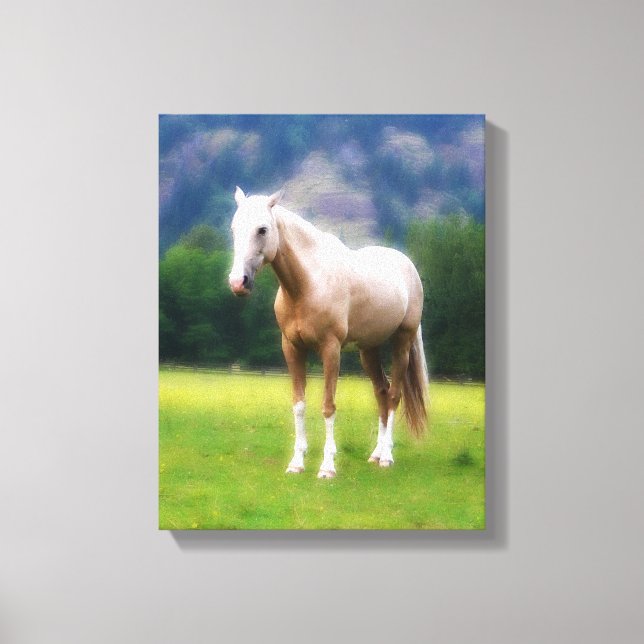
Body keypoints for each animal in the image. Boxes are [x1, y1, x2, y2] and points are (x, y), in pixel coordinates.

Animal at [228, 186, 429, 478]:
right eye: (233, 229)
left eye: (262, 229)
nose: (237, 282)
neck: (308, 284)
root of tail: (408, 267)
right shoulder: (292, 348)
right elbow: (299, 405)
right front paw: (296, 463)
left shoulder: (331, 350)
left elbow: (328, 406)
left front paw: (327, 467)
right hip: (368, 350)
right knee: (381, 393)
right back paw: (376, 454)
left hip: (401, 343)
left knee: (393, 396)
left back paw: (387, 457)